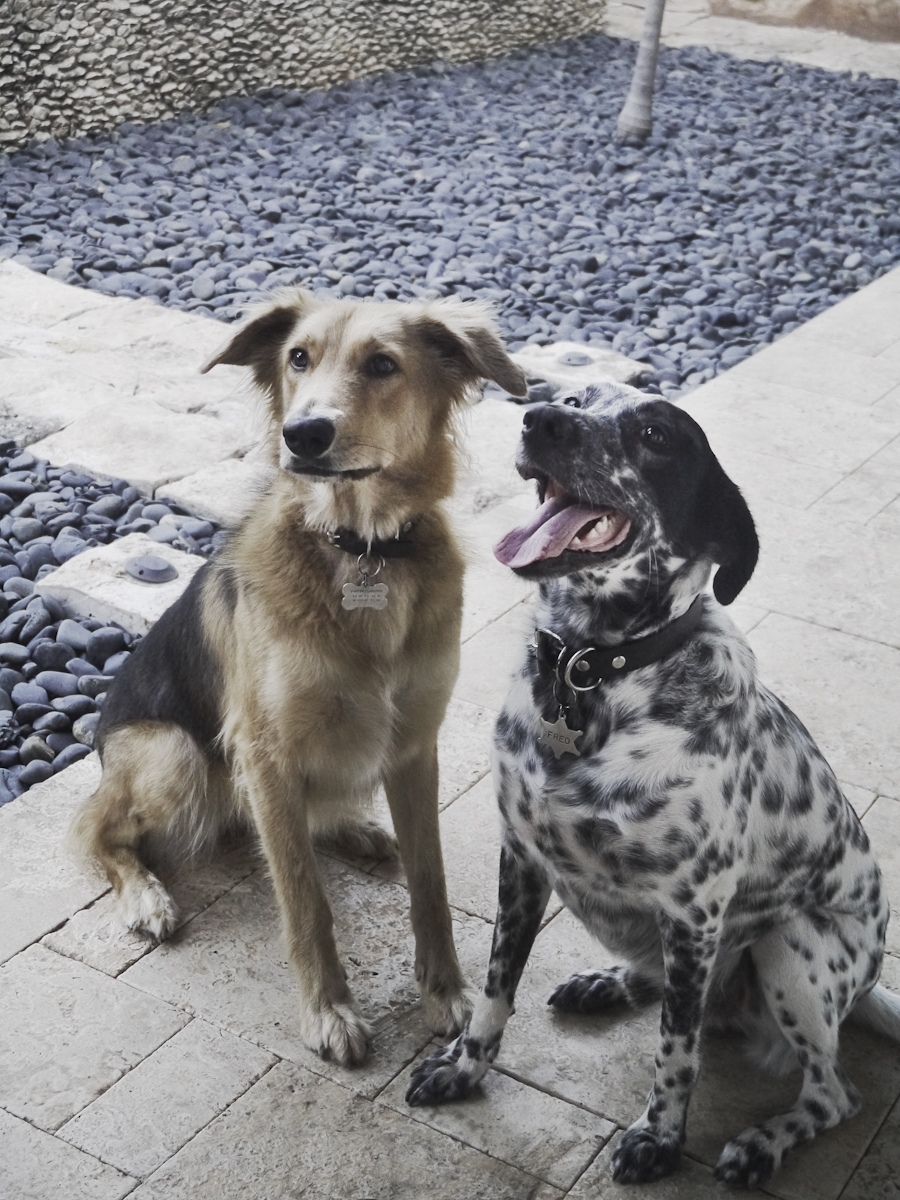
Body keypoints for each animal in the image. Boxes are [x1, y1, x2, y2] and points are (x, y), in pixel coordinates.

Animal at [72, 289, 527, 1066]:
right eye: (297, 358)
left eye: (383, 365)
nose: (303, 433)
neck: (363, 550)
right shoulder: (265, 756)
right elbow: (304, 899)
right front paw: (330, 1013)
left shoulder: (416, 745)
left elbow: (430, 883)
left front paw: (447, 995)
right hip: (175, 754)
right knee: (94, 827)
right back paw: (146, 896)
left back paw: (358, 829)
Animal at [407, 382, 900, 1185]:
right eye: (576, 396)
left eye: (656, 435)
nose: (540, 417)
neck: (590, 673)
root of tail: (863, 988)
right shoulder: (523, 859)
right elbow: (494, 989)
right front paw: (465, 1066)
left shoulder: (695, 911)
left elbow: (675, 1051)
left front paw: (659, 1137)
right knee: (676, 992)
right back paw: (608, 983)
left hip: (788, 947)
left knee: (831, 1090)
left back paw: (765, 1142)